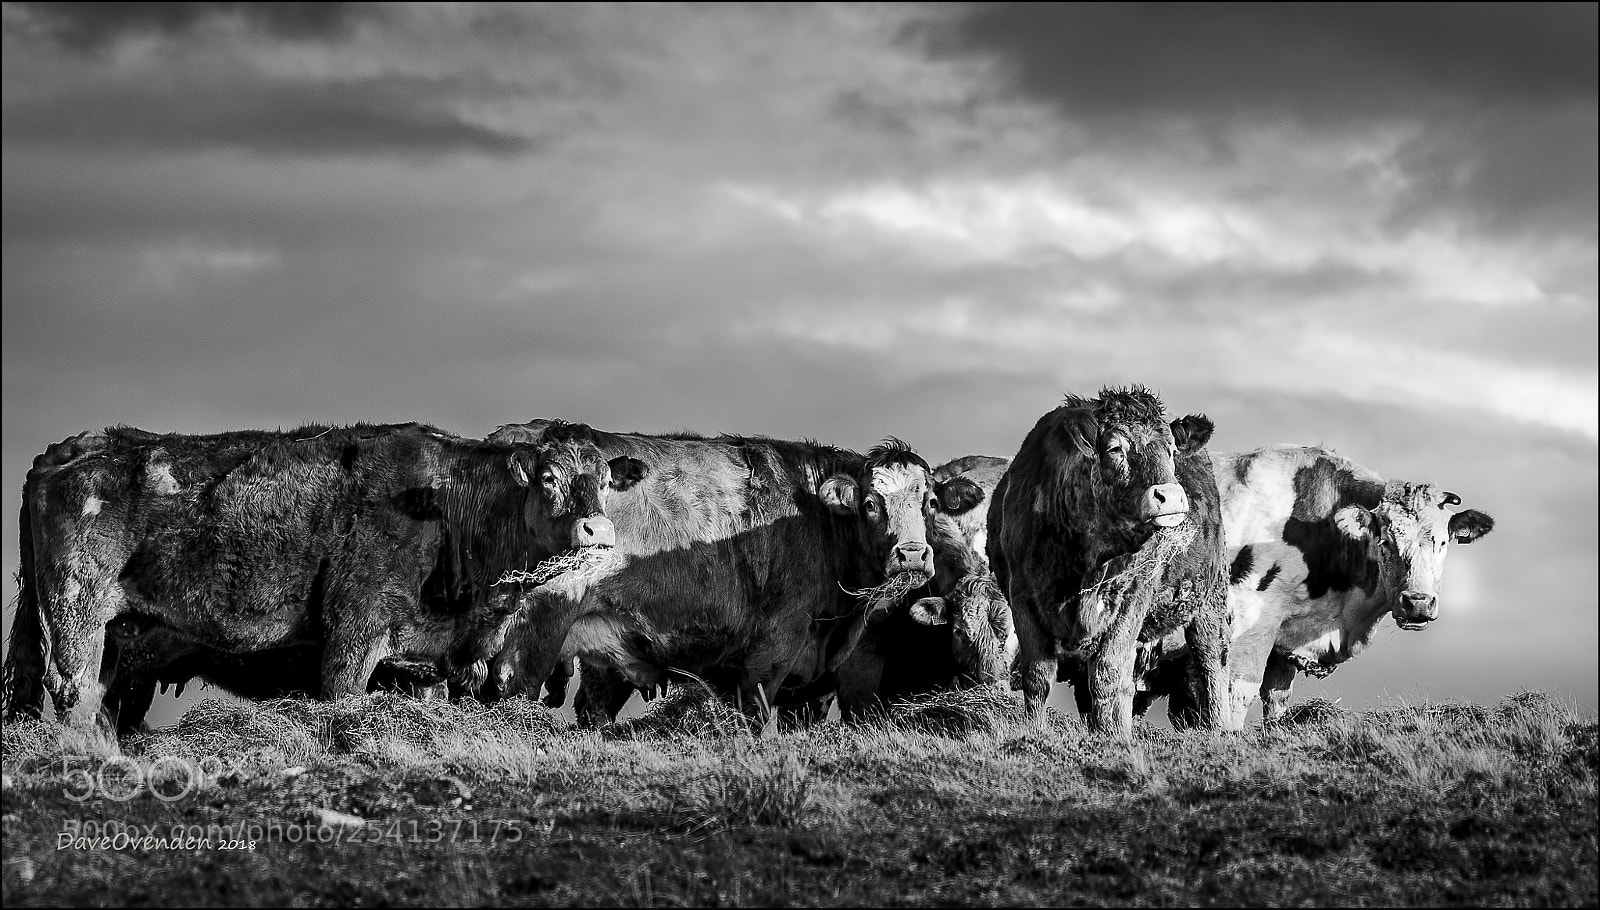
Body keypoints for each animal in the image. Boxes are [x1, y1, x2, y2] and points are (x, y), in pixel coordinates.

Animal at [0, 421, 645, 731]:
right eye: (548, 479)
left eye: (604, 481)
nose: (596, 529)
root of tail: (71, 453)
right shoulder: (351, 637)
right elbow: (341, 703)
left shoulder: (436, 662)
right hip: (76, 608)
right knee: (74, 688)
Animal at [987, 386, 1226, 736]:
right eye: (1115, 448)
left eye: (1170, 450)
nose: (1170, 496)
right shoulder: (1022, 596)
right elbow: (1037, 677)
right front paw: (1036, 732)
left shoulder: (1132, 597)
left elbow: (1108, 673)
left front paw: (1115, 738)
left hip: (1210, 600)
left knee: (1212, 665)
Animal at [1135, 445, 1495, 726]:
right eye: (1385, 541)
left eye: (1443, 542)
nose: (1417, 602)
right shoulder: (1249, 626)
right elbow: (1233, 697)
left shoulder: (1283, 643)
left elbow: (1276, 702)